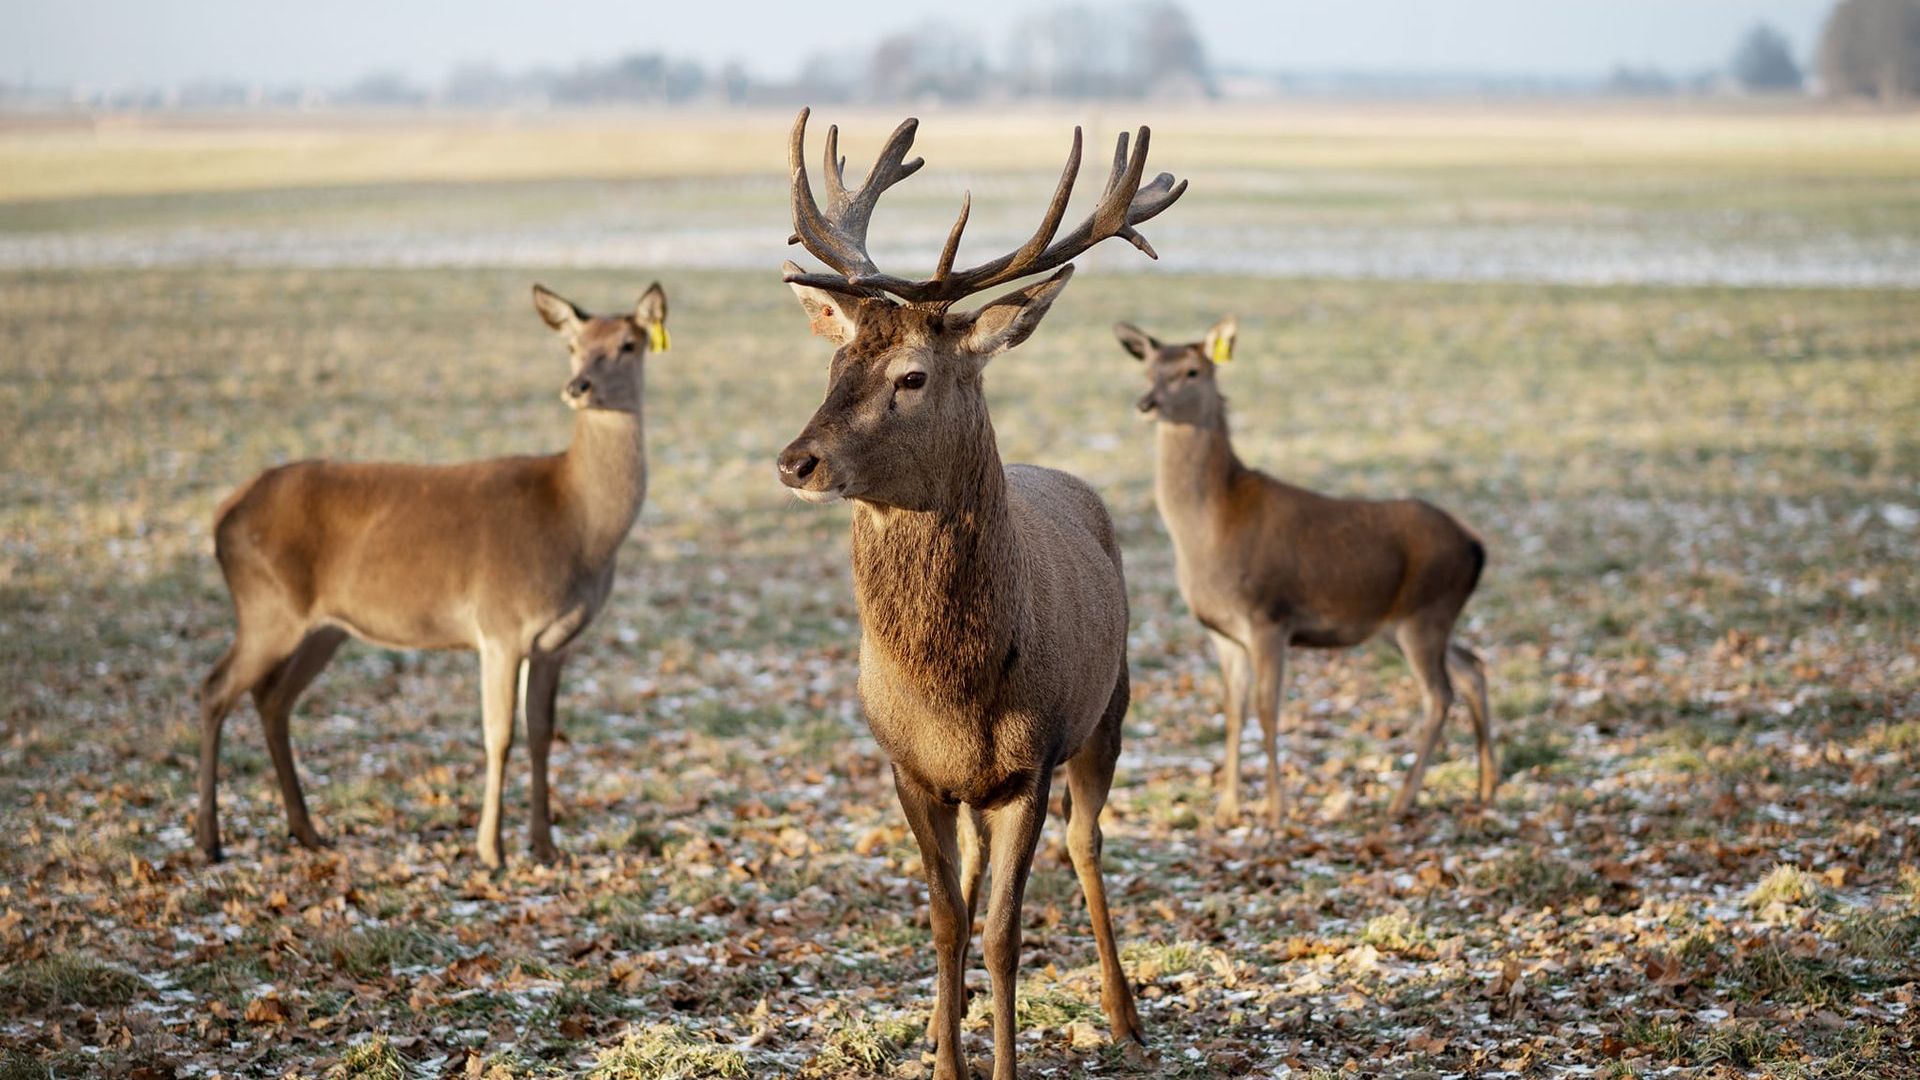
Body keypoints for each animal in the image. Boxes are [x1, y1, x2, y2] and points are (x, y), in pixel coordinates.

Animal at [194, 278, 672, 864]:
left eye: (629, 344)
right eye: (572, 345)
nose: (577, 386)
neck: (577, 521)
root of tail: (223, 514)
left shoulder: (556, 643)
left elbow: (542, 732)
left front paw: (545, 845)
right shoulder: (499, 626)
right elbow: (499, 734)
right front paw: (491, 851)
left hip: (323, 628)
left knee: (272, 698)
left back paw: (305, 829)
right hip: (267, 607)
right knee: (214, 688)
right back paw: (209, 839)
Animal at [771, 109, 1175, 1076]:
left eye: (912, 375)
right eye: (836, 364)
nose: (796, 461)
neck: (952, 688)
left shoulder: (1031, 762)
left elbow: (1002, 932)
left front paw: (1001, 1062)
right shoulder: (906, 767)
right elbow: (947, 917)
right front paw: (944, 1052)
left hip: (1111, 708)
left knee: (1088, 844)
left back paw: (1125, 1014)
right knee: (976, 875)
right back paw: (938, 1016)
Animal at [1121, 317, 1489, 822]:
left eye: (1192, 371)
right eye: (1149, 369)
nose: (1146, 403)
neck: (1210, 528)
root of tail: (1475, 546)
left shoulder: (1270, 616)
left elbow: (1266, 708)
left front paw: (1276, 811)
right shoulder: (1223, 632)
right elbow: (1232, 711)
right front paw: (1227, 810)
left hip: (1425, 612)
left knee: (1440, 693)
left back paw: (1404, 799)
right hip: (1411, 622)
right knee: (1473, 666)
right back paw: (1486, 787)